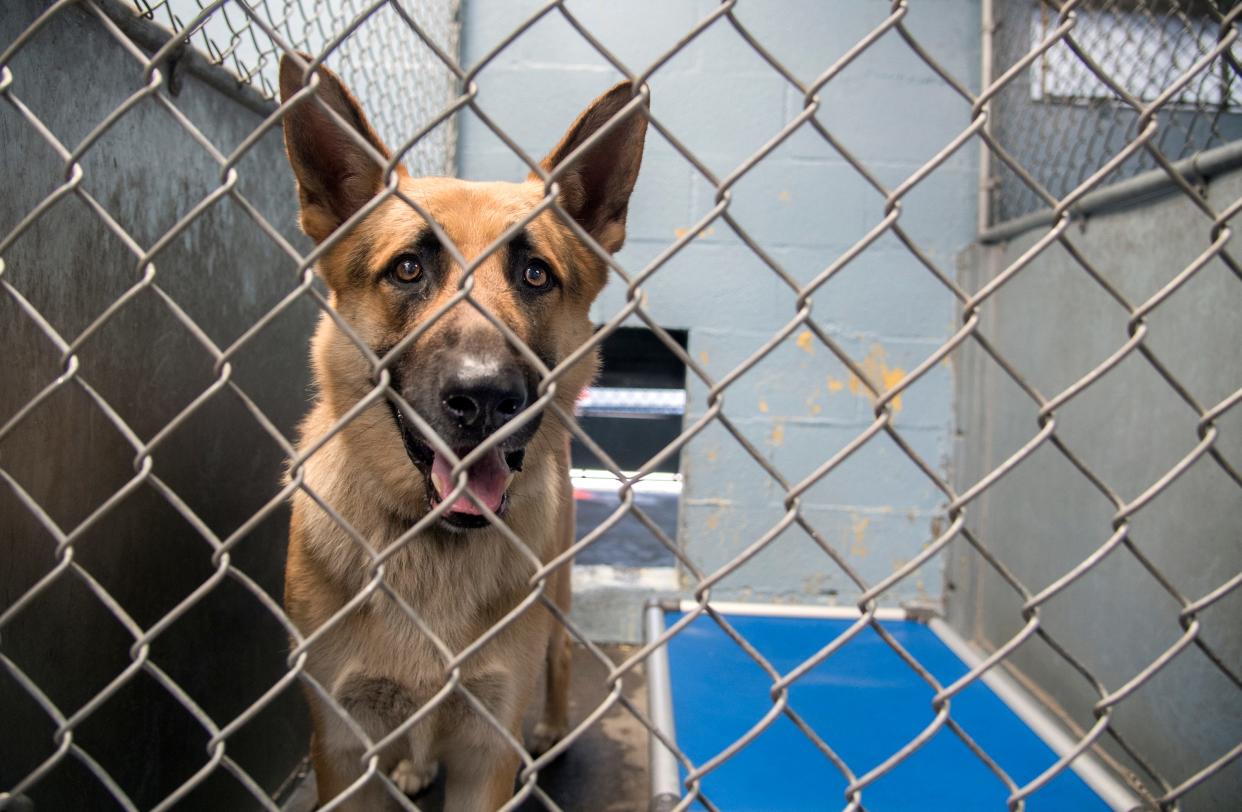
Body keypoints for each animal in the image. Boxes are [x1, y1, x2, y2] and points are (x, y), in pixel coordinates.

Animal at [276, 52, 650, 812]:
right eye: (408, 268)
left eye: (535, 274)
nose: (484, 400)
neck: (434, 545)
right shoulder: (342, 746)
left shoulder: (488, 750)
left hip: (558, 599)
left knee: (559, 656)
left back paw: (553, 727)